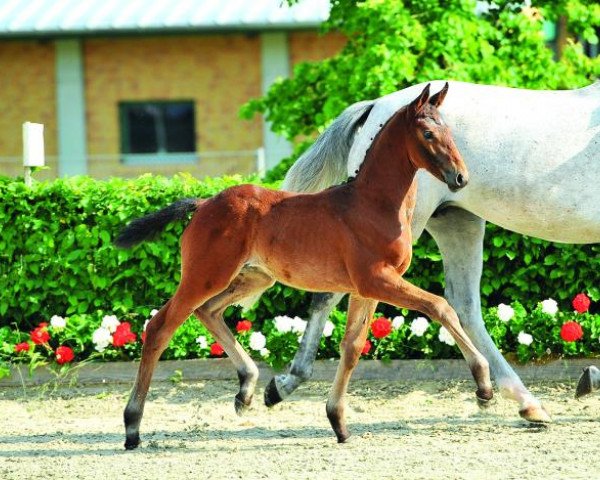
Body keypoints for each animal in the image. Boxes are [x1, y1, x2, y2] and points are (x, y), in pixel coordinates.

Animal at [116, 84, 492, 448]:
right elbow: (440, 306)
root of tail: (204, 202)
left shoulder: (367, 288)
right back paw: (133, 426)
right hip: (205, 275)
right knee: (160, 327)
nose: (461, 177)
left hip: (253, 278)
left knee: (208, 311)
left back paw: (246, 389)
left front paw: (338, 422)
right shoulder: (377, 279)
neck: (373, 204)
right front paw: (484, 386)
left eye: (450, 130)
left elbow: (352, 347)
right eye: (428, 133)